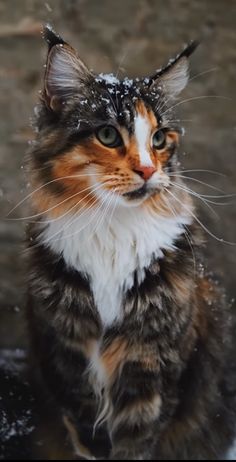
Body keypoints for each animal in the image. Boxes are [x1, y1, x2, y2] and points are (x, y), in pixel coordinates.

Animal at [26, 26, 236, 462]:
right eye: (108, 134)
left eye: (158, 138)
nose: (148, 170)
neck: (112, 233)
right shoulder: (67, 362)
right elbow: (87, 438)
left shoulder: (153, 366)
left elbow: (136, 442)